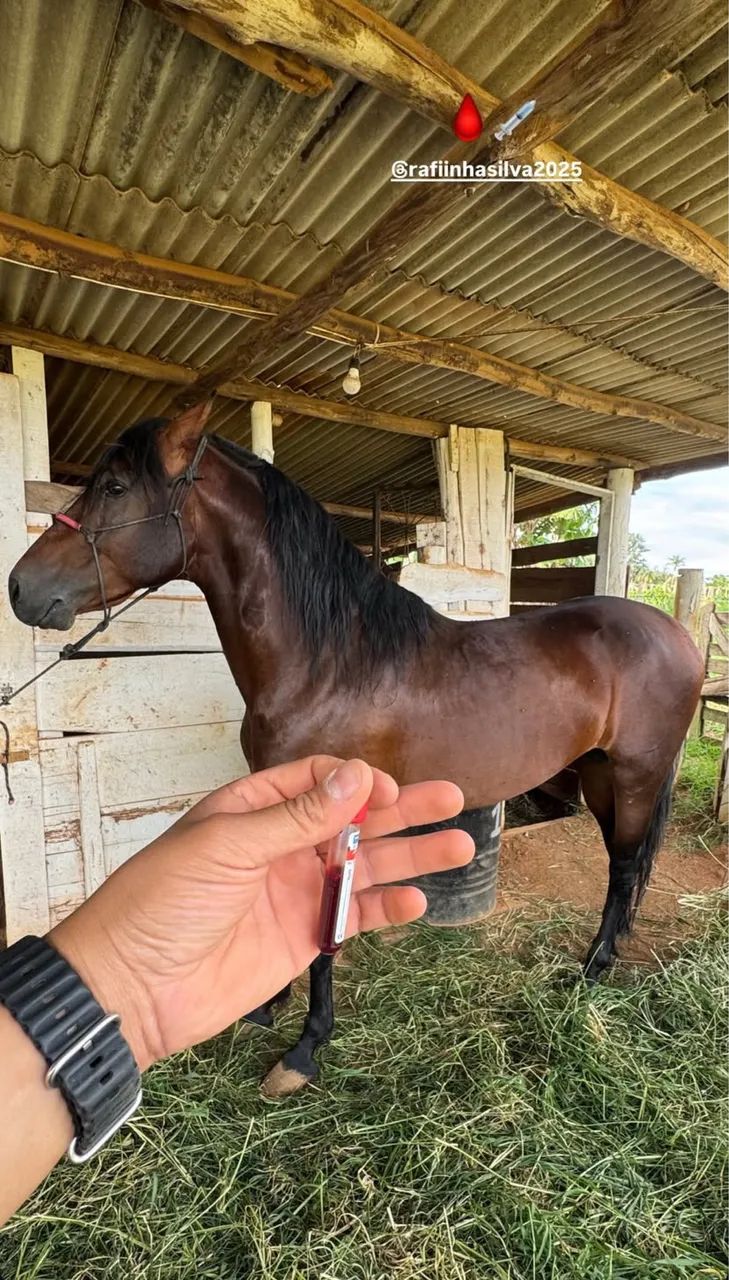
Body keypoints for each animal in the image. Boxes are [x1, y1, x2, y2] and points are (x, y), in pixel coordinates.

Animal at [8, 404, 704, 1096]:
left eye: (115, 487)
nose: (18, 587)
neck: (330, 662)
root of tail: (678, 634)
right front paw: (268, 1005)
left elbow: (324, 931)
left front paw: (305, 1049)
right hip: (599, 775)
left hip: (634, 776)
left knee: (624, 867)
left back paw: (593, 969)